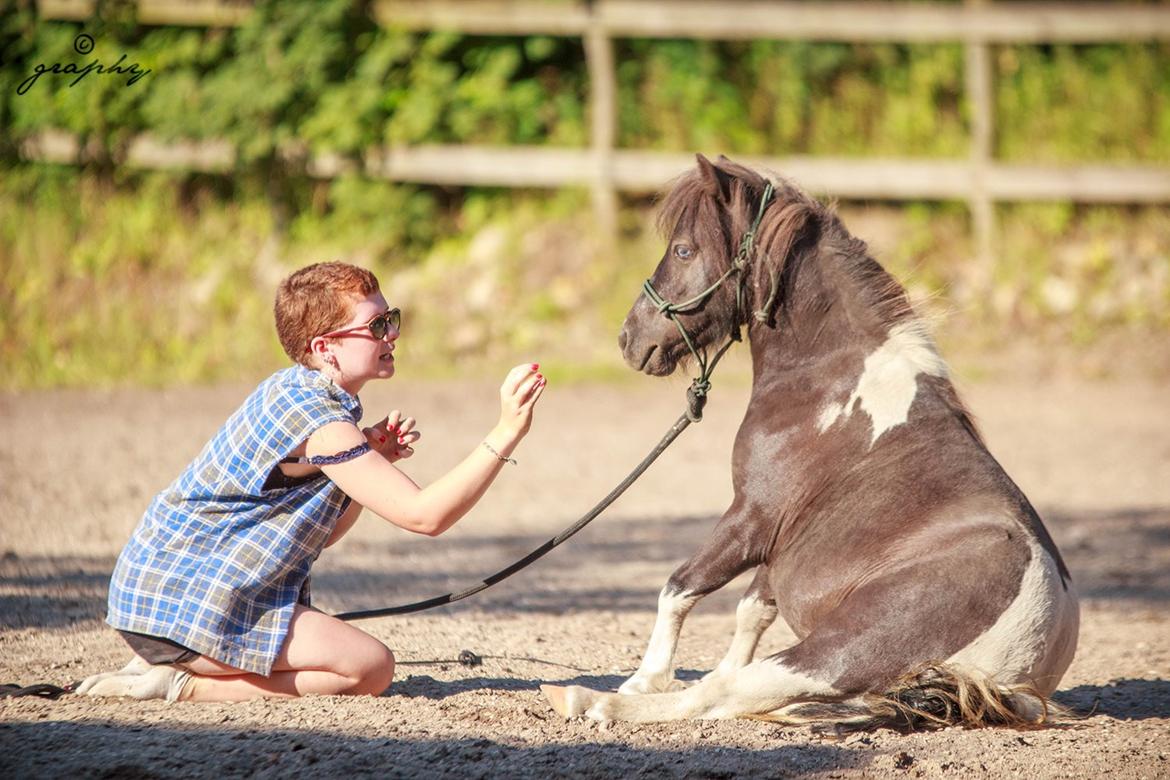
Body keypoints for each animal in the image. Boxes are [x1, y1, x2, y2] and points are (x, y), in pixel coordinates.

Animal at [538, 155, 1076, 729]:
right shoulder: (779, 543)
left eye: (684, 249)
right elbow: (751, 610)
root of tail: (1022, 674)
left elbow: (679, 589)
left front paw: (644, 678)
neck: (830, 379)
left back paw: (589, 700)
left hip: (837, 652)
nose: (629, 339)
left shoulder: (753, 518)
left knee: (720, 696)